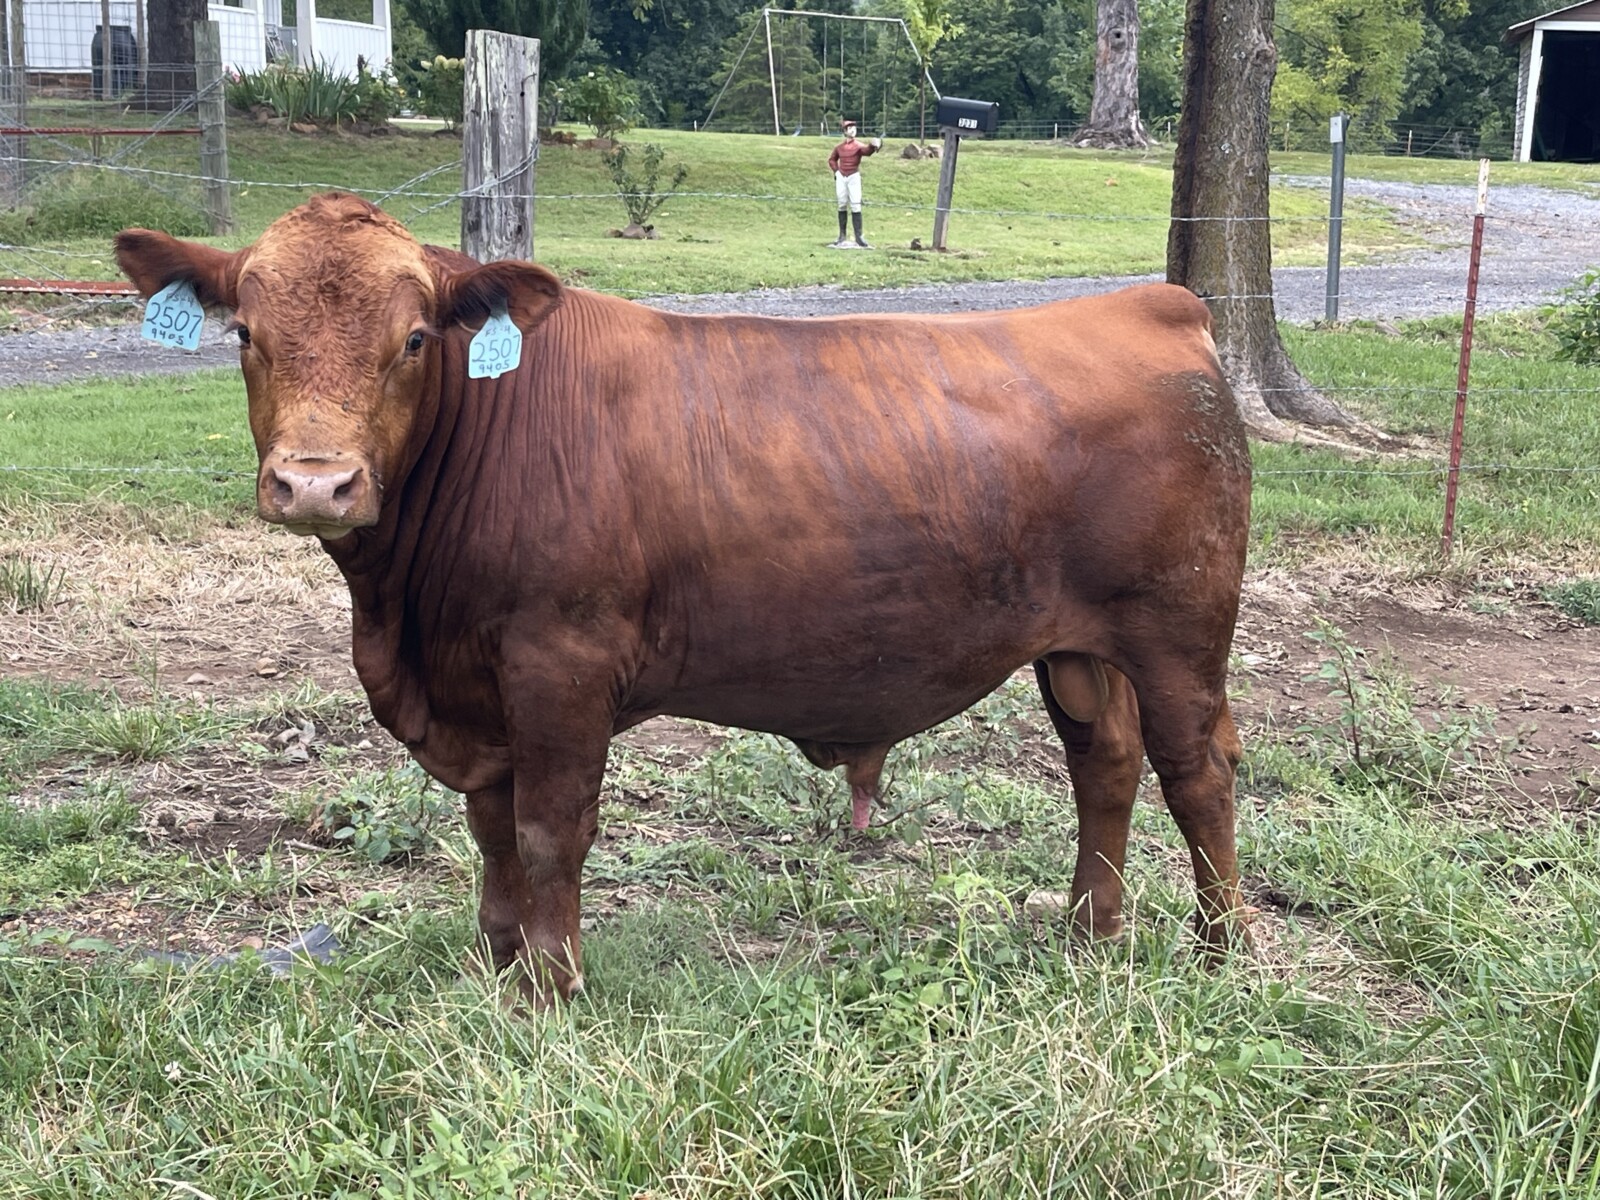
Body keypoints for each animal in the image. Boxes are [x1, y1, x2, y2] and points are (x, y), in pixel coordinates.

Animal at [116, 192, 1253, 1008]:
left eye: (414, 340)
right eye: (245, 333)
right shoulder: (480, 688)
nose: (317, 484)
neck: (406, 619)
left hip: (1179, 635)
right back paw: (1090, 935)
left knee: (1197, 776)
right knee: (1104, 766)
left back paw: (1220, 949)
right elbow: (491, 833)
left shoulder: (559, 664)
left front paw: (551, 992)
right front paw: (497, 966)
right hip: (1078, 647)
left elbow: (548, 832)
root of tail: (1153, 305)